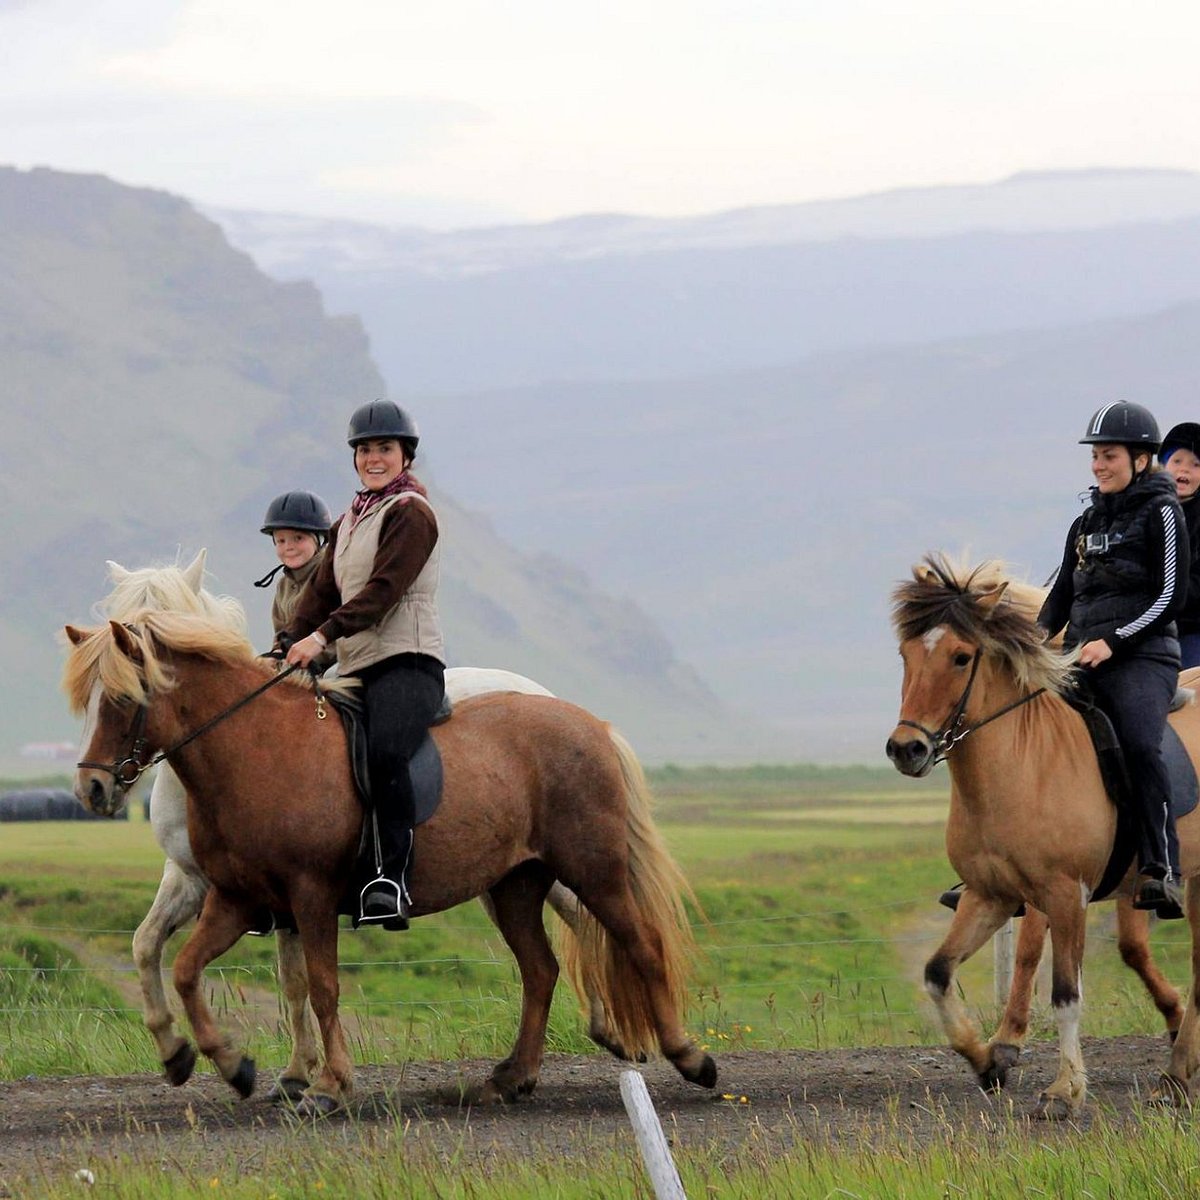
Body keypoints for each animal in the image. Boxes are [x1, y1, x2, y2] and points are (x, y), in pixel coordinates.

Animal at [65, 614, 715, 1108]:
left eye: (121, 699)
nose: (93, 789)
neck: (257, 751)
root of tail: (591, 723)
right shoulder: (237, 899)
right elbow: (183, 968)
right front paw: (227, 1064)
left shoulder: (309, 895)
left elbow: (322, 986)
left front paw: (329, 1085)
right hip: (515, 885)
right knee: (541, 969)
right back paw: (512, 1077)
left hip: (593, 870)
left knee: (639, 945)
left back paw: (688, 1057)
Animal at [888, 556, 1195, 1118]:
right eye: (906, 654)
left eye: (962, 657)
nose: (906, 748)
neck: (1025, 762)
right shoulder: (990, 895)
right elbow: (939, 972)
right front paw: (987, 1059)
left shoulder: (1065, 894)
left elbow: (1066, 992)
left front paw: (1064, 1089)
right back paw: (1176, 1074)